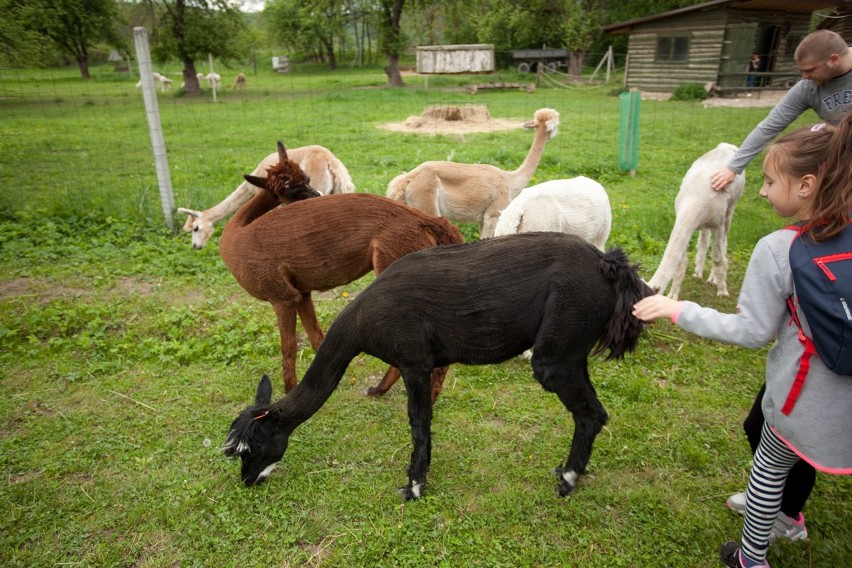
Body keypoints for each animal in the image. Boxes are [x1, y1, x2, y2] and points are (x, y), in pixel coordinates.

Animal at [648, 142, 744, 300]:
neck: (694, 198)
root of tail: (726, 146)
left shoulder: (718, 223)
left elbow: (717, 258)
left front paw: (722, 291)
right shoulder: (683, 220)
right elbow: (681, 262)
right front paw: (673, 295)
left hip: (730, 208)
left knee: (723, 242)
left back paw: (713, 279)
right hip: (704, 224)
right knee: (704, 241)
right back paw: (698, 272)